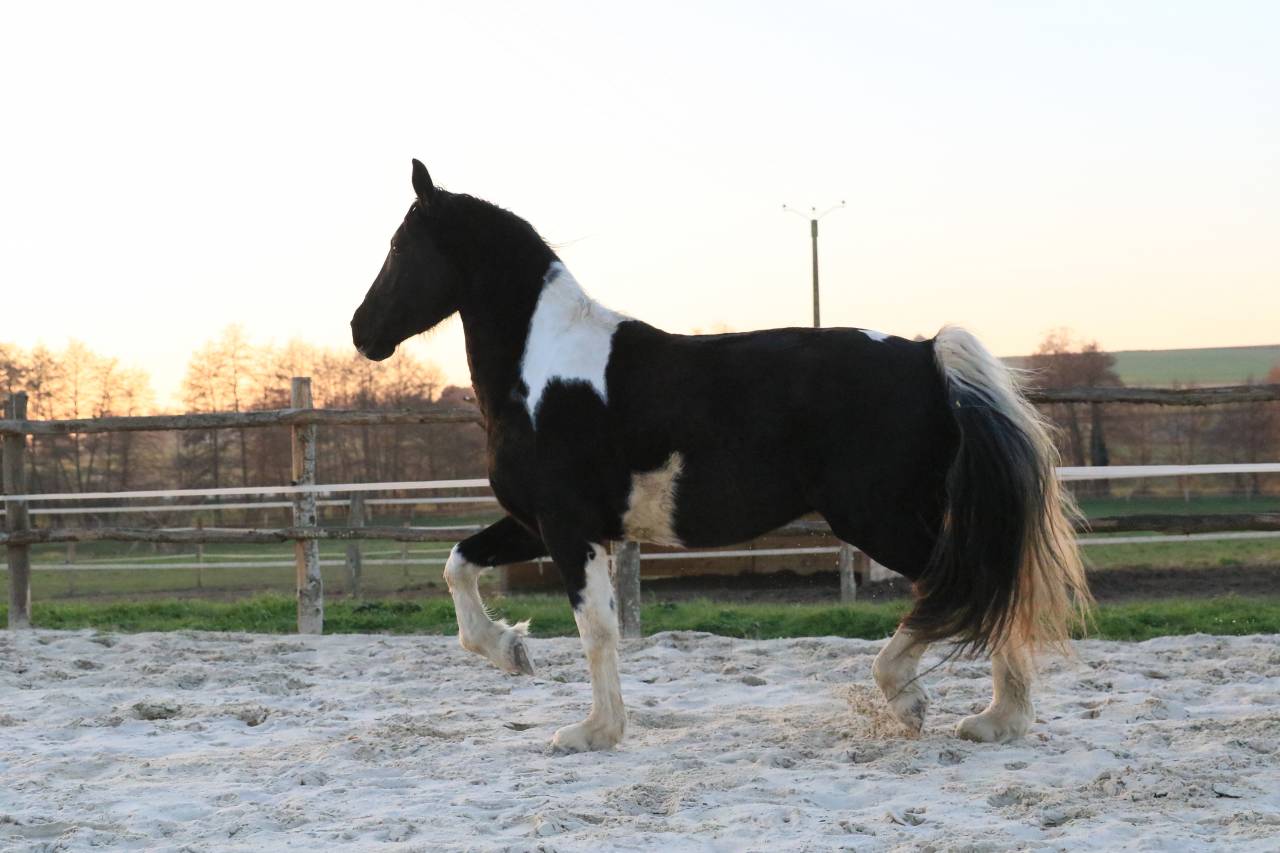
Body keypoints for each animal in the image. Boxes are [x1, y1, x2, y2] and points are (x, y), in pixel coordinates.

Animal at [350, 160, 1092, 752]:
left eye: (398, 246)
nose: (361, 332)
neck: (543, 370)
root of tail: (923, 356)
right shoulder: (542, 522)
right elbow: (457, 565)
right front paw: (511, 650)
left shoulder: (566, 526)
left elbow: (596, 628)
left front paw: (591, 732)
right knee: (981, 583)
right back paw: (996, 719)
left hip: (876, 516)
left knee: (964, 582)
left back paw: (934, 704)